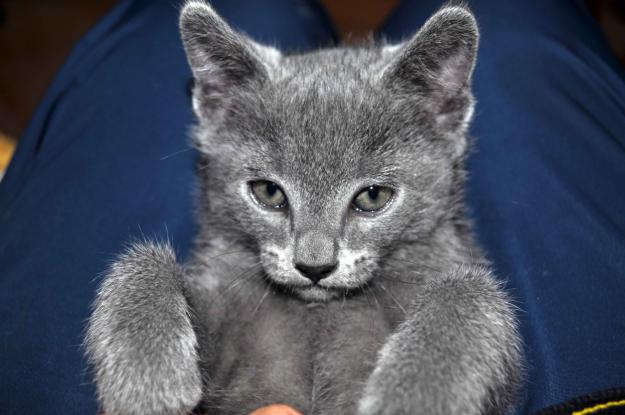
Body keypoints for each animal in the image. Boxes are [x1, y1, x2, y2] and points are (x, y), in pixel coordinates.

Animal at [84, 1, 520, 414]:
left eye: (373, 197)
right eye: (268, 192)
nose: (314, 266)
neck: (317, 312)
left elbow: (468, 288)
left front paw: (417, 396)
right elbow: (145, 259)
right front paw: (146, 379)